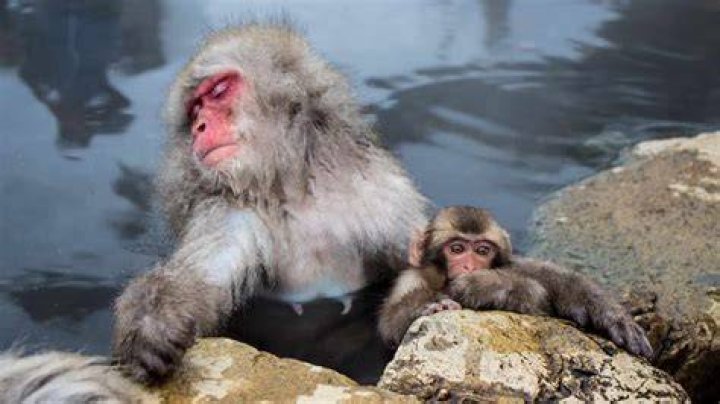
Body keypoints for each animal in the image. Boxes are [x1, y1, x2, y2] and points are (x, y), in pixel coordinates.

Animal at [112, 22, 429, 384]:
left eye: (218, 90)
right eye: (194, 111)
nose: (199, 128)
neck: (294, 191)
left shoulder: (381, 194)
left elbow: (419, 259)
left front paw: (414, 312)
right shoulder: (228, 214)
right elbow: (196, 280)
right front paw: (151, 325)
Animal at [378, 206, 653, 359]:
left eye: (482, 250)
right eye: (456, 249)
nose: (469, 267)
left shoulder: (513, 264)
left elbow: (553, 280)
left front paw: (614, 316)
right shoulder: (411, 278)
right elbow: (390, 325)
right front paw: (431, 306)